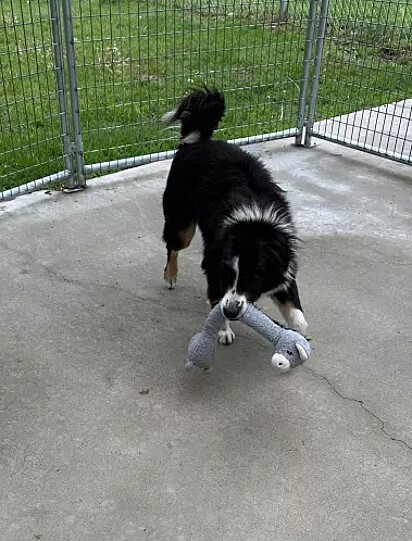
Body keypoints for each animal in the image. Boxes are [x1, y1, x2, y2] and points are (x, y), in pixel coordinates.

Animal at [161, 87, 306, 344]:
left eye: (253, 278)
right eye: (228, 275)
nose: (231, 312)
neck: (255, 225)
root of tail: (197, 142)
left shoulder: (283, 263)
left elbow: (297, 313)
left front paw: (298, 334)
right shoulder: (214, 260)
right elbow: (217, 295)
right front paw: (223, 329)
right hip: (182, 223)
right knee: (173, 245)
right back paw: (171, 275)